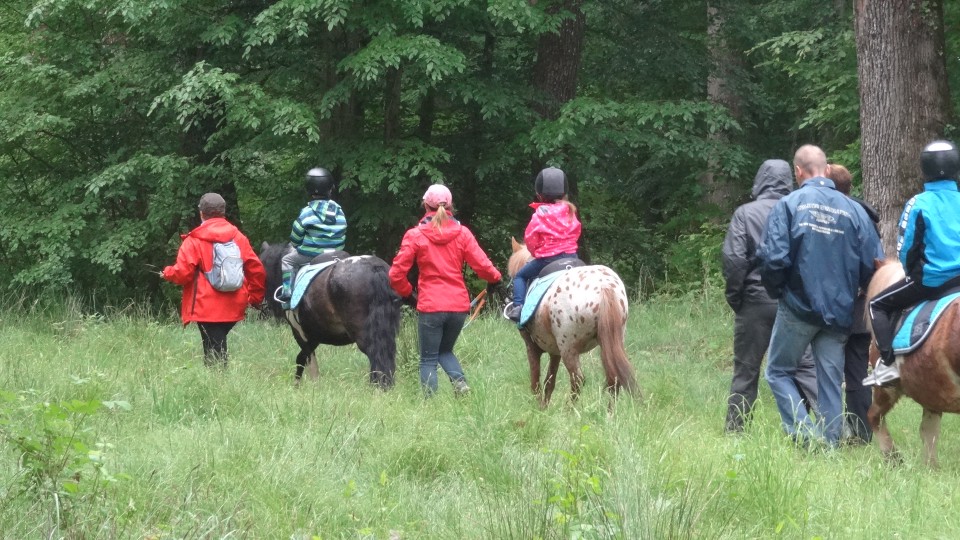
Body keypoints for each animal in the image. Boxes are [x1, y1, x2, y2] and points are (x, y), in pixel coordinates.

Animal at [256, 243, 400, 386]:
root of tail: (373, 267)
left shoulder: (300, 333)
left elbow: (304, 359)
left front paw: (301, 385)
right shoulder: (314, 336)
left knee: (374, 354)